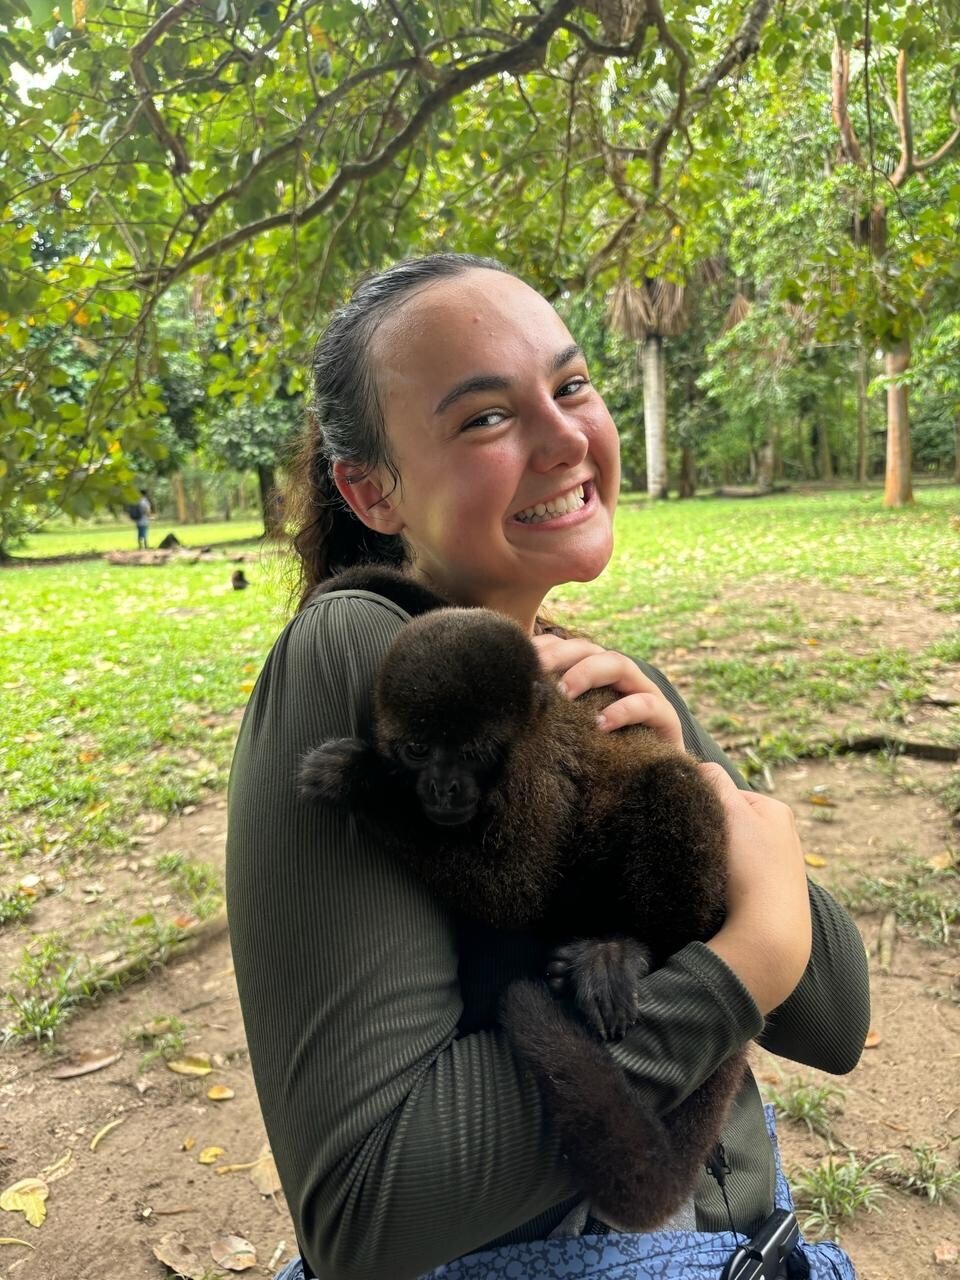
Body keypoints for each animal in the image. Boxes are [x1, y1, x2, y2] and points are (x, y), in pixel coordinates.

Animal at [296, 570, 747, 1228]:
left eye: (472, 751)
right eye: (418, 750)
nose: (443, 788)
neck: (530, 724)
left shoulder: (536, 775)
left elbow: (519, 887)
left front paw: (361, 781)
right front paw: (367, 579)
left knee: (674, 785)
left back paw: (624, 952)